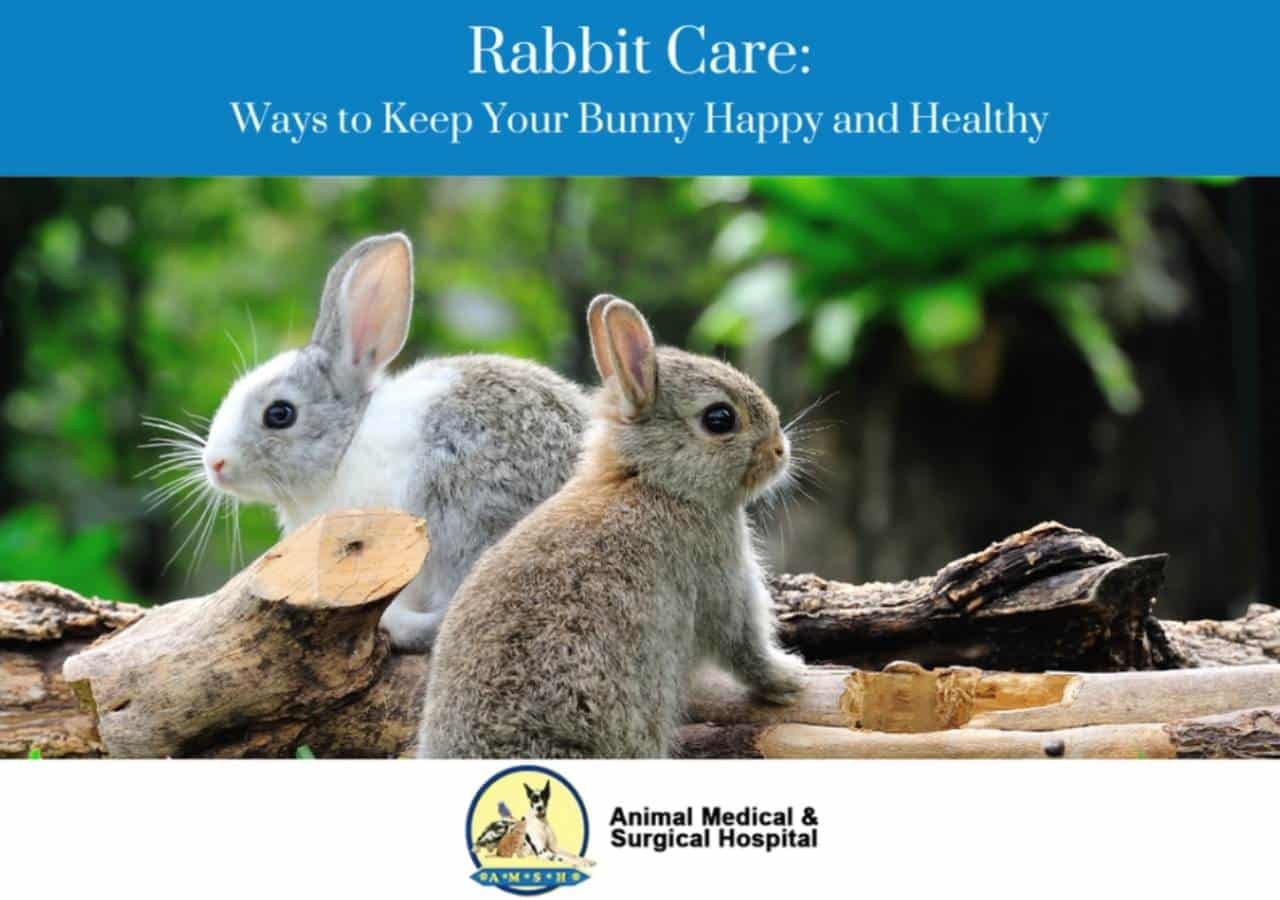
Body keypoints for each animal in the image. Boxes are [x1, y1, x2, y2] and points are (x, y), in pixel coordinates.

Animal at [418, 295, 806, 758]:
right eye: (719, 419)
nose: (781, 450)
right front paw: (790, 678)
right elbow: (744, 645)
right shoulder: (721, 576)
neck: (652, 480)